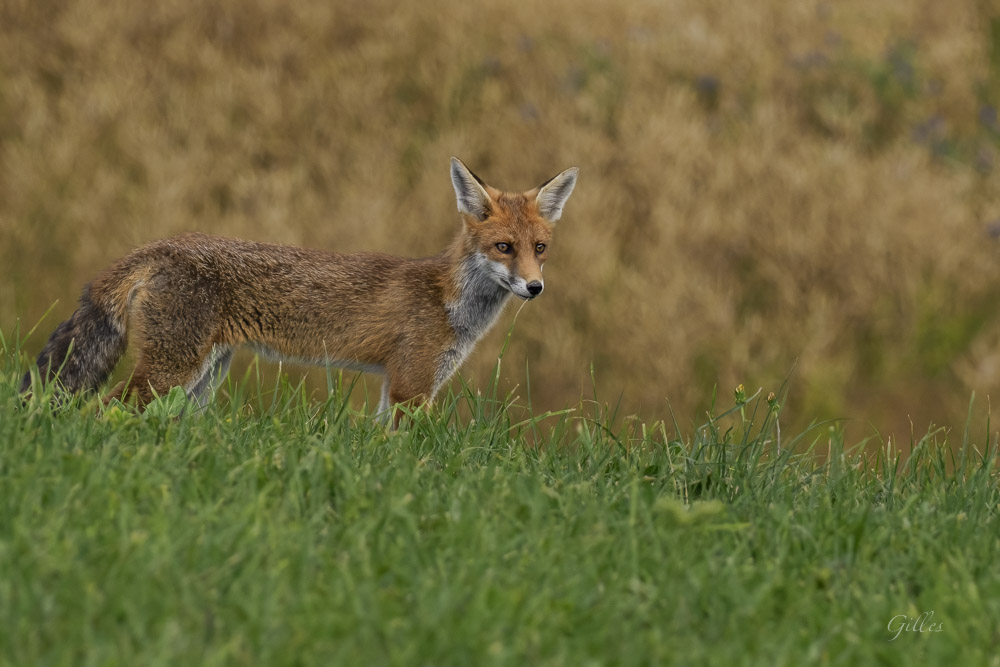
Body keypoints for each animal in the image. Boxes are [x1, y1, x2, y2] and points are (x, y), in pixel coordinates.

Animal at [21, 157, 578, 425]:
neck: (450, 302)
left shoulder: (396, 387)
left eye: (540, 248)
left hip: (200, 380)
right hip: (171, 371)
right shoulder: (410, 387)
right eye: (504, 247)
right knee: (101, 410)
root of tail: (160, 244)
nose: (535, 287)